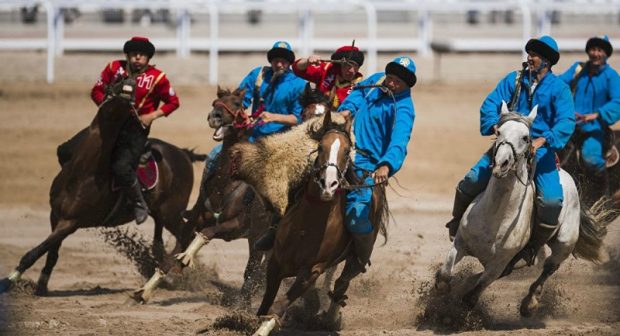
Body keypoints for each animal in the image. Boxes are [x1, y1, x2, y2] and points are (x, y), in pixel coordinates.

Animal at [0, 80, 196, 296]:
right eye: (116, 82)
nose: (128, 86)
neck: (84, 171)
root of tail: (183, 154)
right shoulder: (55, 215)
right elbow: (51, 252)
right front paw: (42, 285)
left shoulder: (71, 222)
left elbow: (36, 251)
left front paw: (8, 280)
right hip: (160, 213)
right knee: (160, 241)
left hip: (172, 213)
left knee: (187, 235)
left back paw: (170, 272)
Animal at [132, 86, 270, 304]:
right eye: (215, 103)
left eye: (238, 103)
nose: (215, 116)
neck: (226, 186)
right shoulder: (191, 223)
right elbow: (168, 258)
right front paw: (144, 290)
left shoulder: (235, 227)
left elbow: (207, 232)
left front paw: (185, 259)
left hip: (257, 236)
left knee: (254, 269)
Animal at [251, 109, 388, 336]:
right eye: (321, 146)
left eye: (347, 151)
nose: (328, 184)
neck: (306, 226)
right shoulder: (276, 262)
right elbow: (266, 302)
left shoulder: (312, 271)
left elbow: (278, 306)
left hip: (355, 259)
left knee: (341, 285)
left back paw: (330, 319)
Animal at [434, 102, 612, 318]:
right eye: (498, 131)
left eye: (526, 137)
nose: (501, 164)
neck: (495, 216)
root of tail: (566, 176)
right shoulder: (460, 242)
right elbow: (444, 278)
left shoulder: (498, 264)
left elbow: (471, 296)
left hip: (564, 243)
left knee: (549, 268)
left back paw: (530, 303)